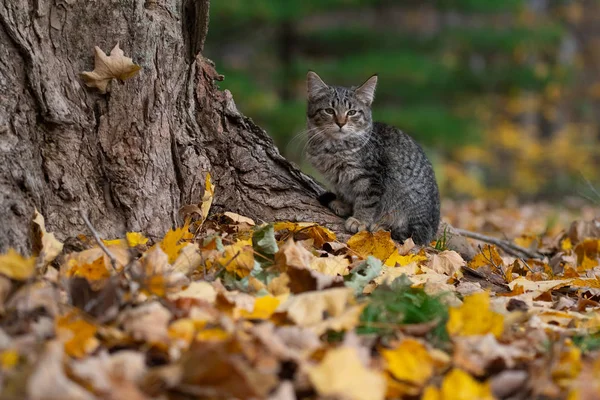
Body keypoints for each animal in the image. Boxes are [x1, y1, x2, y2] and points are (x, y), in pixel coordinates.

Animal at [308, 72, 438, 245]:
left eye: (352, 112)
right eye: (329, 110)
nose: (340, 123)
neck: (334, 148)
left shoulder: (371, 178)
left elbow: (367, 201)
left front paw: (360, 220)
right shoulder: (339, 179)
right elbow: (344, 192)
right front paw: (343, 204)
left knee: (407, 233)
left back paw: (382, 226)